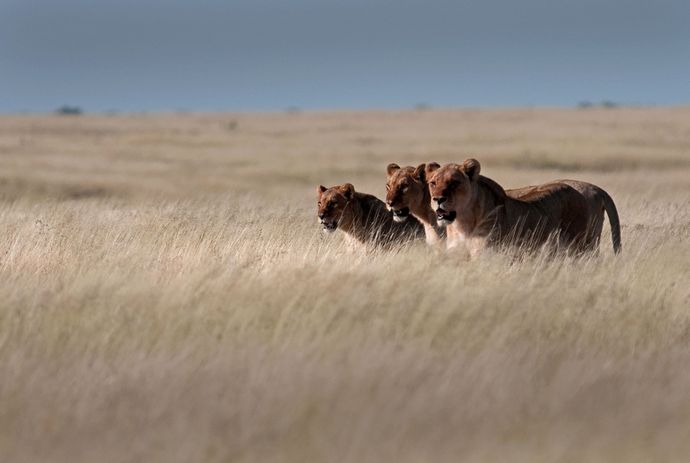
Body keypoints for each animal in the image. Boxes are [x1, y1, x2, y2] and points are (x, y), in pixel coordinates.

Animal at [426, 159, 621, 256]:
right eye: (433, 183)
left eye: (454, 183)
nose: (438, 199)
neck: (461, 222)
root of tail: (597, 189)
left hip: (582, 246)